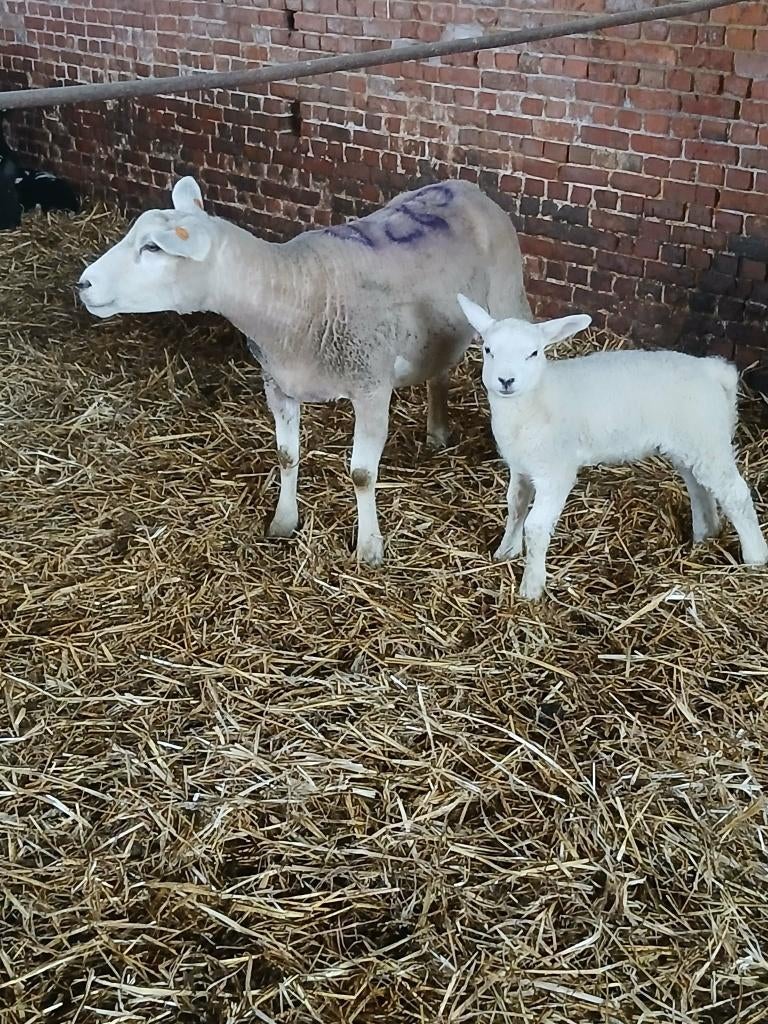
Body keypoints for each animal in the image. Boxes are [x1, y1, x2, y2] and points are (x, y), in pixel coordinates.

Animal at [77, 176, 531, 565]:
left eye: (153, 248)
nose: (83, 284)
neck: (298, 292)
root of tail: (463, 185)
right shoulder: (278, 383)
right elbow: (286, 456)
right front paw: (283, 522)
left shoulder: (371, 385)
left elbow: (362, 475)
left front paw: (369, 548)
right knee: (439, 370)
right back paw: (437, 431)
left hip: (508, 296)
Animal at [456, 294, 768, 600]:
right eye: (488, 350)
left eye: (533, 353)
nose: (506, 380)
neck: (535, 400)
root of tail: (714, 371)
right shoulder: (521, 467)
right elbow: (515, 506)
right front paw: (505, 552)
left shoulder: (555, 472)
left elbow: (535, 526)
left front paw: (531, 587)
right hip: (691, 443)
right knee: (700, 487)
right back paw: (705, 536)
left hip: (706, 437)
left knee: (735, 494)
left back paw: (755, 557)